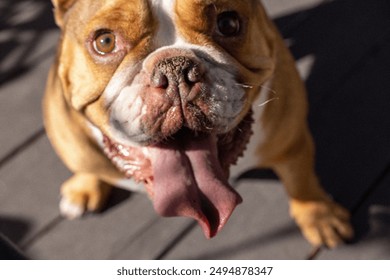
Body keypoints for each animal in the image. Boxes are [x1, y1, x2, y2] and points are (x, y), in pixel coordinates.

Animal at [44, 0, 354, 249]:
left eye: (228, 23)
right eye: (105, 42)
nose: (175, 70)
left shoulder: (291, 143)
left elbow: (300, 181)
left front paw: (319, 215)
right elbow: (86, 163)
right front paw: (85, 184)